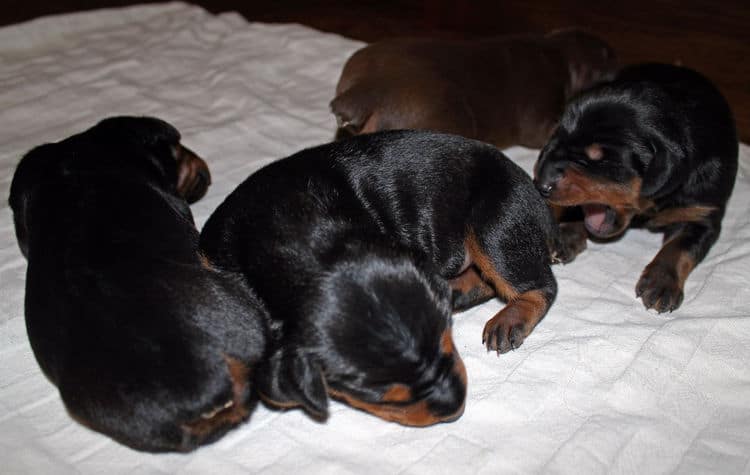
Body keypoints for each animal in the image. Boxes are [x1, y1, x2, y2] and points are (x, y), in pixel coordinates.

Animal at [200, 129, 564, 424]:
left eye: (446, 338)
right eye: (379, 393)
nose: (456, 405)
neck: (296, 236)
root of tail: (541, 205)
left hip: (496, 221)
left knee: (538, 284)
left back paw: (510, 318)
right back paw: (455, 291)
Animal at [536, 63, 740, 314]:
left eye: (599, 159)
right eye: (556, 141)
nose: (540, 184)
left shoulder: (700, 213)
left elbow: (678, 247)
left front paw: (661, 283)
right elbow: (578, 209)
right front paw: (563, 235)